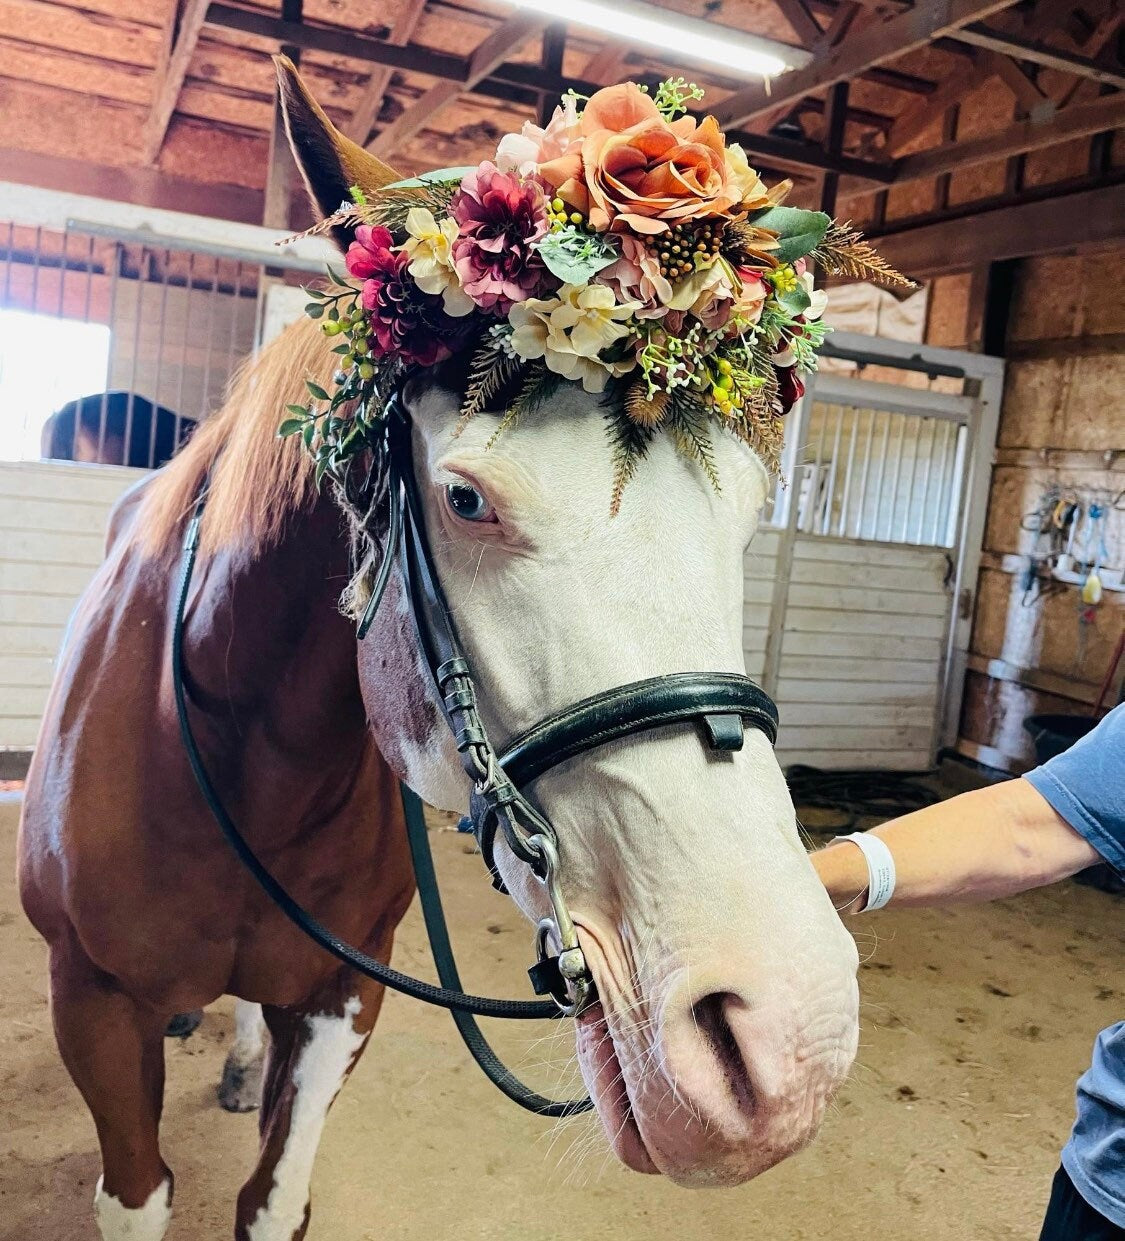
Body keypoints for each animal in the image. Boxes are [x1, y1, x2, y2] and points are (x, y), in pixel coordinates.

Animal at [17, 60, 863, 1241]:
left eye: (748, 510)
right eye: (465, 498)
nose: (786, 1039)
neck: (239, 753)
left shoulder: (339, 1003)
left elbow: (272, 1203)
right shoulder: (93, 1009)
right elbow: (137, 1197)